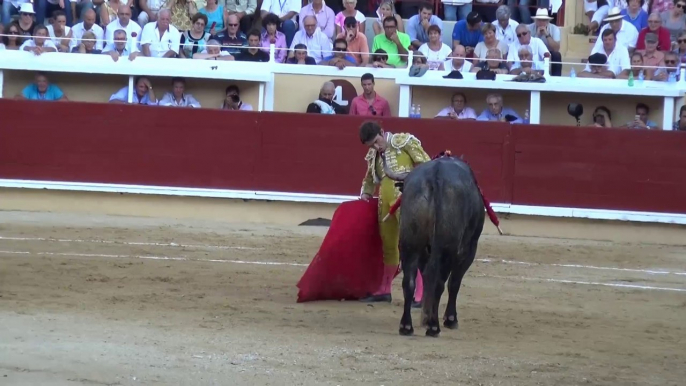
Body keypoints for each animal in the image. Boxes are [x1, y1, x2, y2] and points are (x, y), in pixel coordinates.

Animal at [384, 155, 486, 336]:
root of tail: (435, 176)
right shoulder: (469, 247)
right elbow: (454, 282)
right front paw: (450, 319)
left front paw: (424, 317)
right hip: (447, 247)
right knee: (439, 282)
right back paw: (434, 327)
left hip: (410, 243)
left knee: (409, 282)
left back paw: (406, 326)